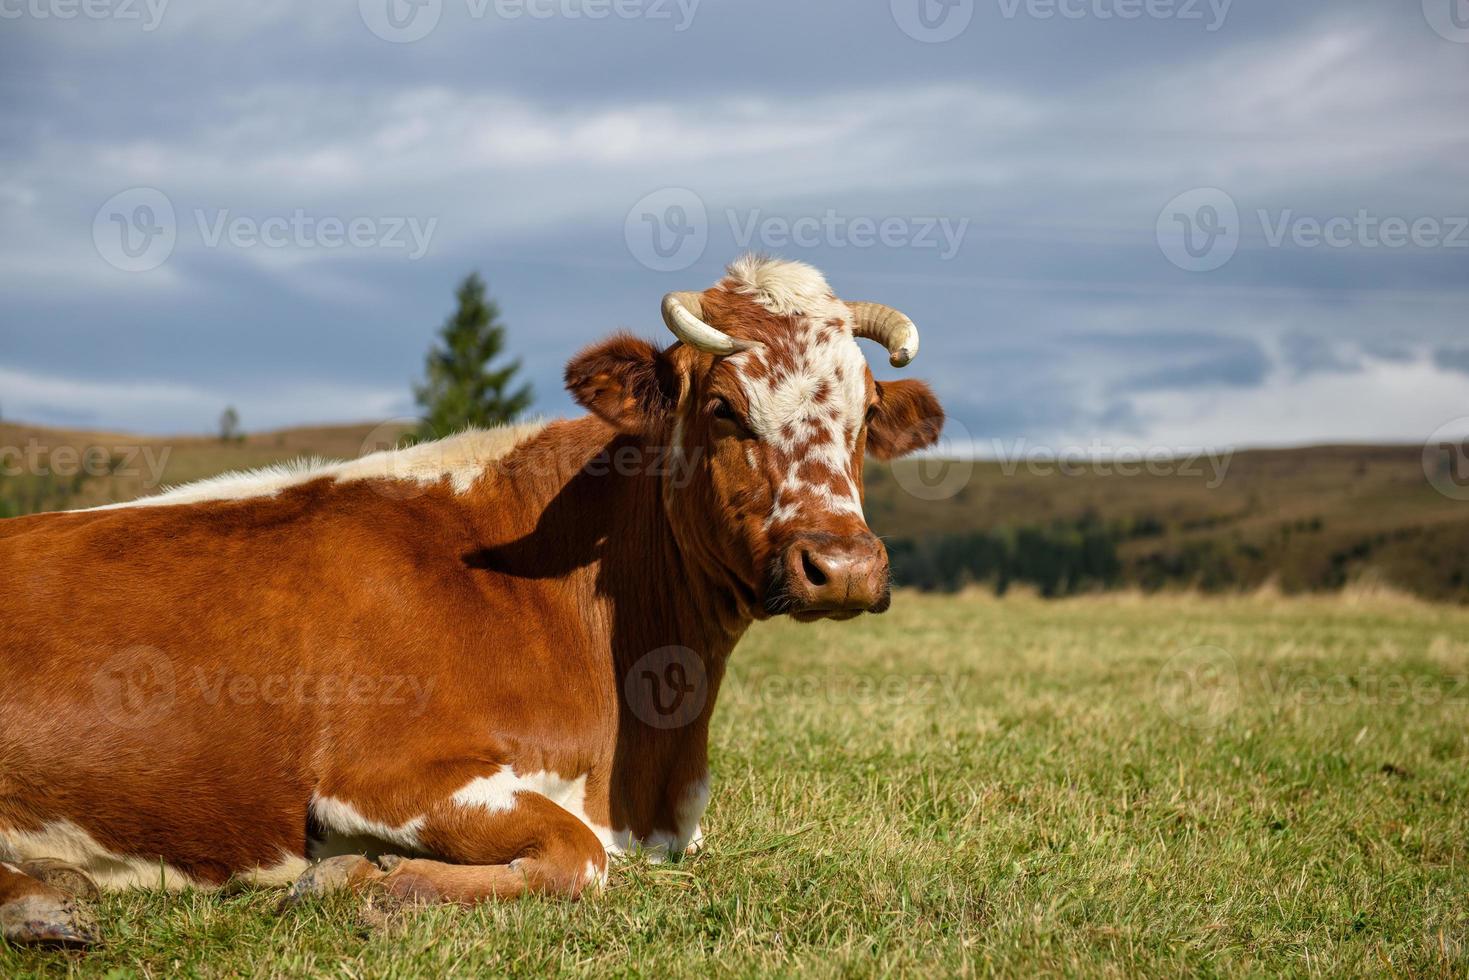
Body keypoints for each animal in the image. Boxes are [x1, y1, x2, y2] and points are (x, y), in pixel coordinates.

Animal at [0, 257, 940, 946]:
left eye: (864, 416)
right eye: (722, 407)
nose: (842, 565)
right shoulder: (377, 779)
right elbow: (577, 854)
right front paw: (367, 883)